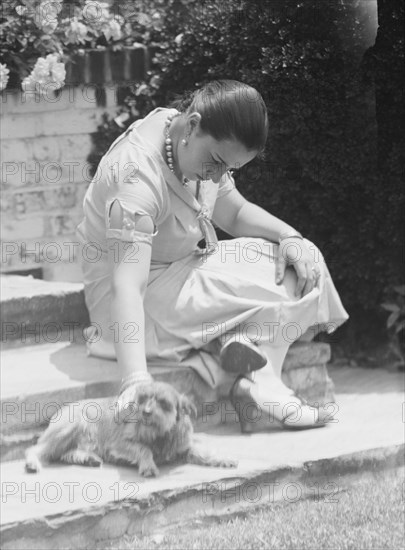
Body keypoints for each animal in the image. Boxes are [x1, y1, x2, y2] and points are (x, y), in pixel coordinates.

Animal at [25, 384, 237, 478]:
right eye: (142, 399)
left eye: (164, 403)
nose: (146, 412)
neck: (160, 435)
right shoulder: (118, 445)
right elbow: (144, 449)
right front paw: (148, 465)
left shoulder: (184, 446)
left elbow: (203, 451)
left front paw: (222, 459)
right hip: (70, 427)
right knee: (37, 449)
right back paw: (32, 463)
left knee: (65, 453)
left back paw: (88, 459)